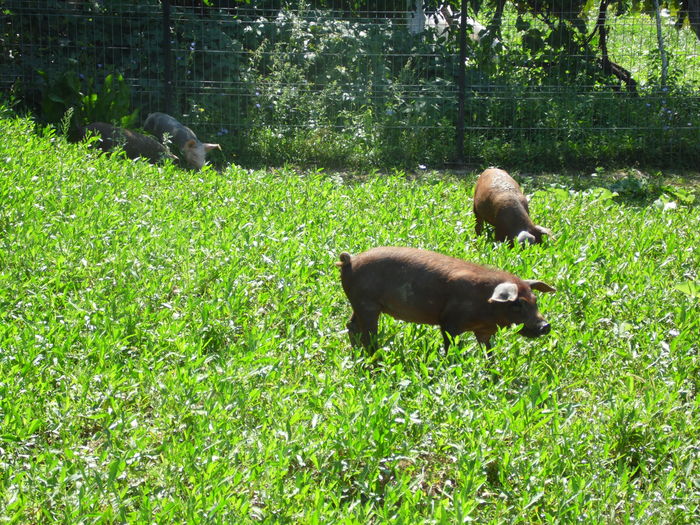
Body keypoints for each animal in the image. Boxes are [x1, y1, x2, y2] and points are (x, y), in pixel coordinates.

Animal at [336, 246, 556, 352]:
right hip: (366, 304)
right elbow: (451, 348)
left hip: (359, 304)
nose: (545, 326)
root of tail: (349, 261)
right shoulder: (449, 323)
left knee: (351, 325)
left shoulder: (484, 331)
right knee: (368, 335)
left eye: (535, 300)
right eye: (518, 303)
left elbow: (488, 353)